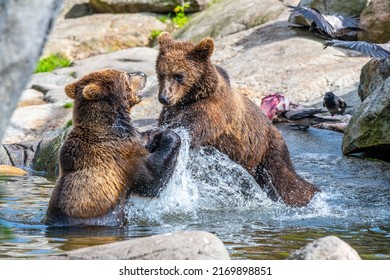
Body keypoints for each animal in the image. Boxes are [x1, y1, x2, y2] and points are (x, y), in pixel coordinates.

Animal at [44, 69, 181, 226]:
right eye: (127, 74)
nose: (142, 74)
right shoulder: (122, 158)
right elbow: (152, 179)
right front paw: (170, 135)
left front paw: (156, 133)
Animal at [156, 33, 320, 208]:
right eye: (161, 73)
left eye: (179, 75)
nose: (164, 97)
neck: (191, 97)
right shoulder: (172, 111)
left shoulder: (213, 110)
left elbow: (193, 126)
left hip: (268, 149)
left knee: (285, 180)